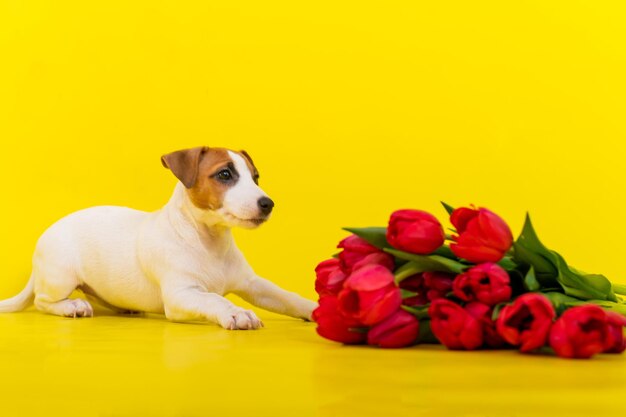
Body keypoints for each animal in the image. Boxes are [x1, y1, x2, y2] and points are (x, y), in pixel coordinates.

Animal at [0, 146, 314, 328]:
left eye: (256, 177)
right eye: (225, 174)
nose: (268, 204)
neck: (208, 241)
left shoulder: (253, 284)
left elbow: (286, 296)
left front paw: (313, 308)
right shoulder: (181, 295)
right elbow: (214, 299)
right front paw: (237, 313)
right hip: (61, 276)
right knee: (43, 302)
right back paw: (72, 306)